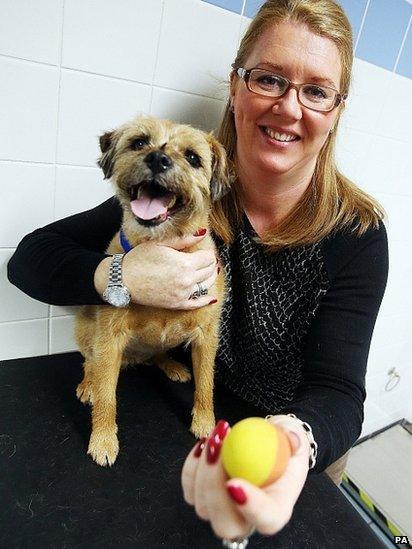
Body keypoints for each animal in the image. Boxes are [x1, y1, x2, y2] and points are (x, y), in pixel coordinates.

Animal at [75, 115, 232, 466]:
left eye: (192, 158)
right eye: (139, 143)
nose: (158, 159)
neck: (164, 246)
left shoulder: (206, 336)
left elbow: (207, 384)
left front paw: (205, 423)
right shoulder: (110, 338)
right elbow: (107, 397)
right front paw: (103, 440)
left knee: (159, 353)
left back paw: (172, 365)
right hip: (87, 330)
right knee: (89, 362)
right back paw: (88, 383)